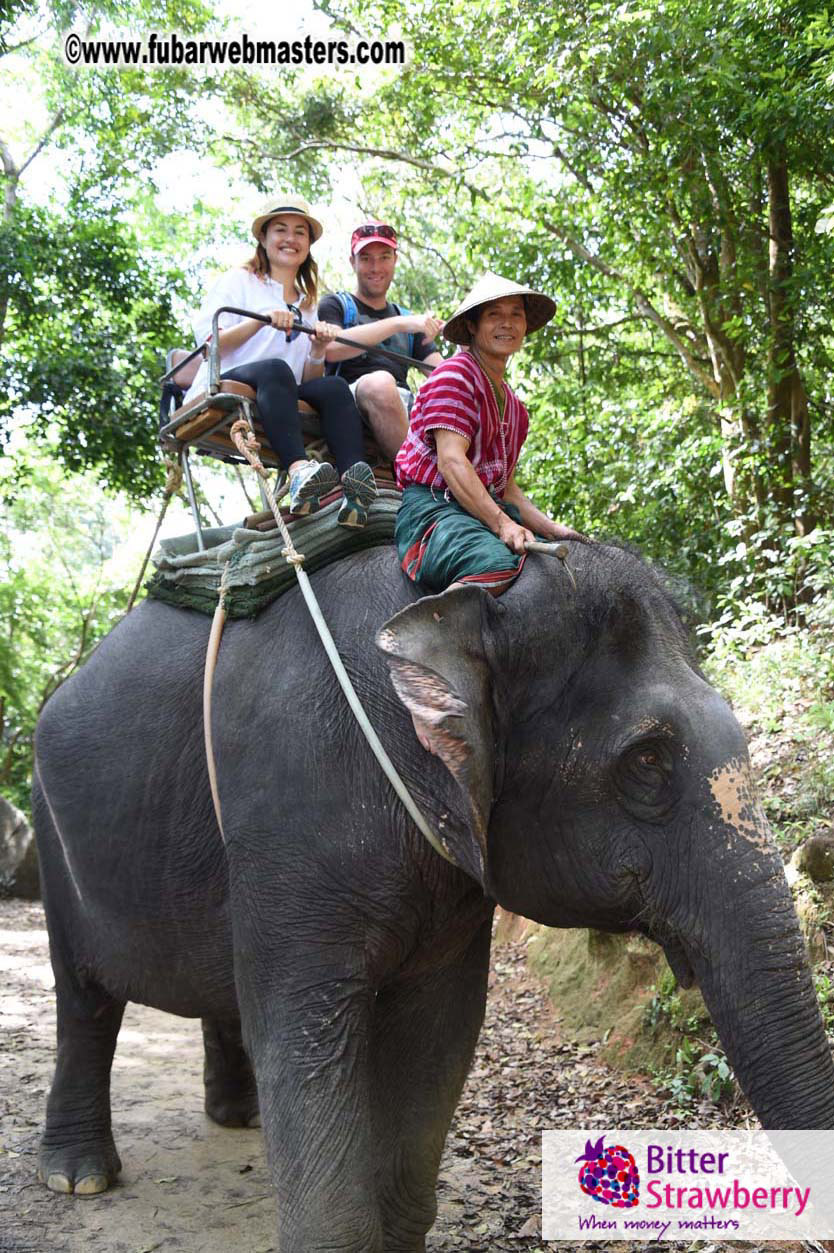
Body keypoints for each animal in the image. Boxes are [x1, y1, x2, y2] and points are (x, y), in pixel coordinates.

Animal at [32, 539, 834, 1251]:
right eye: (647, 761)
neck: (460, 603)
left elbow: (440, 1033)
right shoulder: (292, 813)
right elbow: (303, 1037)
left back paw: (238, 1118)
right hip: (51, 839)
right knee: (84, 999)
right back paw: (81, 1177)